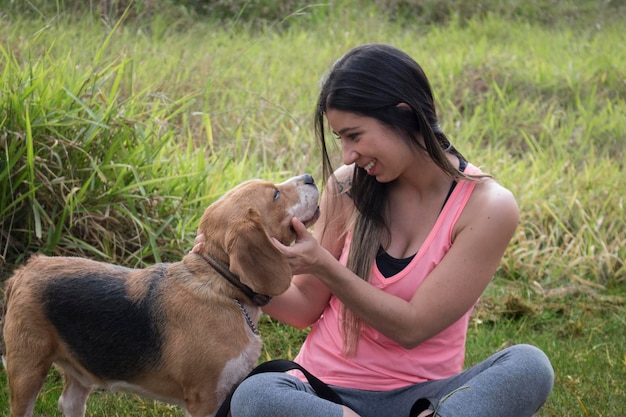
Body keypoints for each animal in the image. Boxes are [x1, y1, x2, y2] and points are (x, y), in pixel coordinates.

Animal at [2, 174, 320, 416]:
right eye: (276, 194)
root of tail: (27, 268)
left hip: (78, 372)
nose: (310, 177)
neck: (222, 288)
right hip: (27, 369)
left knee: (69, 402)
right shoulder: (205, 398)